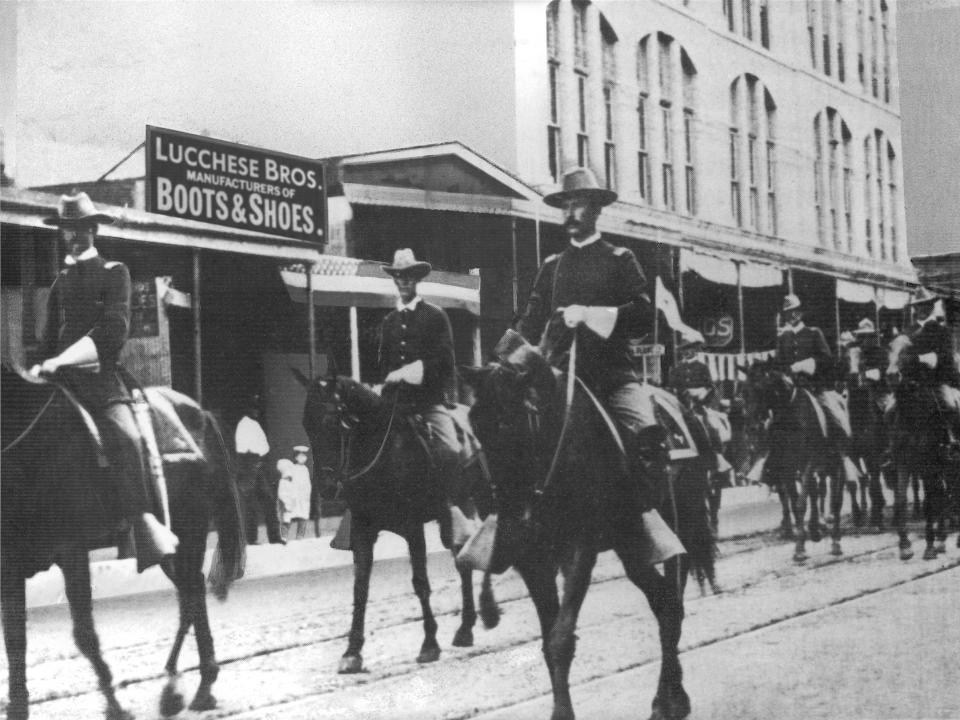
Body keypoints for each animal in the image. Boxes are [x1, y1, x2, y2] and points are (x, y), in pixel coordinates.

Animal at [1, 366, 248, 720]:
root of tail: (199, 413)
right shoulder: (9, 562)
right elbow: (14, 640)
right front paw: (18, 706)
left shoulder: (71, 551)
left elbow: (85, 635)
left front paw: (116, 707)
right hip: (167, 545)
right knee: (191, 593)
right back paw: (187, 684)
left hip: (191, 529)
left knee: (191, 593)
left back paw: (189, 688)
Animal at [302, 372, 502, 676]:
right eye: (306, 424)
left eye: (334, 421)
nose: (325, 488)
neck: (383, 455)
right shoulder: (363, 530)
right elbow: (360, 588)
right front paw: (352, 651)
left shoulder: (412, 527)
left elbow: (420, 583)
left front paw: (429, 643)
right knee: (462, 557)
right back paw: (465, 628)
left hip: (483, 499)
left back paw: (488, 612)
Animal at [462, 338, 716, 720]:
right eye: (475, 425)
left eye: (511, 422)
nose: (508, 519)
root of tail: (684, 411)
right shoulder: (533, 561)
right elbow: (548, 639)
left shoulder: (579, 552)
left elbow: (561, 639)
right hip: (632, 547)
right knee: (663, 602)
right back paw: (671, 697)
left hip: (680, 526)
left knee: (673, 606)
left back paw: (669, 700)